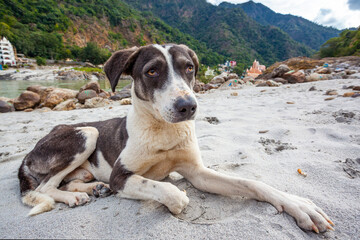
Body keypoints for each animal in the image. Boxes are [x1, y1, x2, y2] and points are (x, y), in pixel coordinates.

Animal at [18, 43, 334, 232]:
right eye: (152, 71)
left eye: (189, 68)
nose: (188, 107)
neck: (163, 131)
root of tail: (28, 154)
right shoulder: (121, 177)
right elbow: (167, 190)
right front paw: (176, 198)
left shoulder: (197, 173)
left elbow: (252, 183)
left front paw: (299, 206)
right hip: (86, 132)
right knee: (43, 188)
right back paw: (74, 197)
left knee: (65, 182)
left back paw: (91, 188)